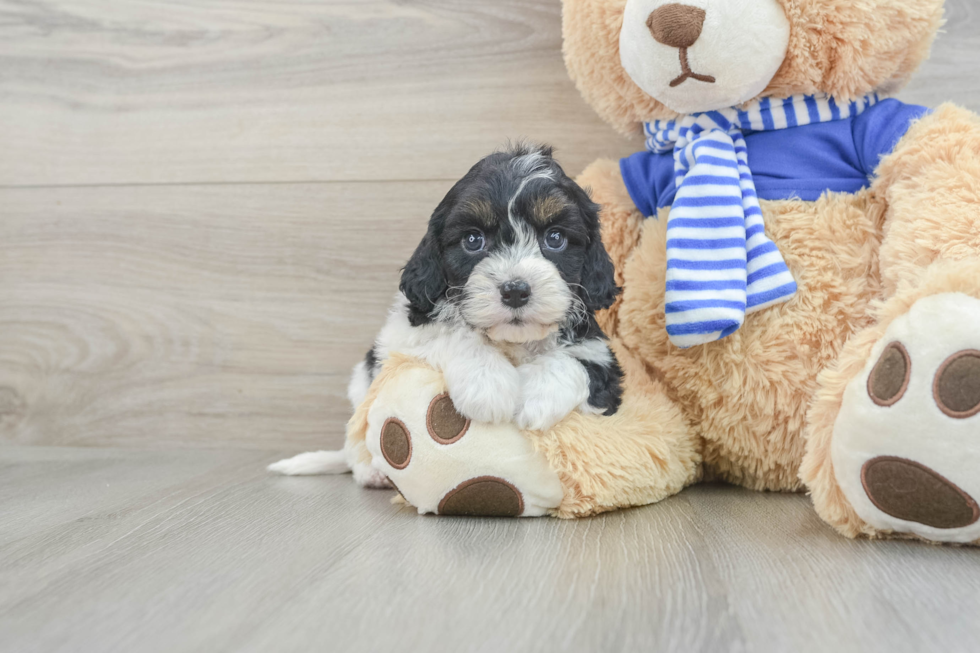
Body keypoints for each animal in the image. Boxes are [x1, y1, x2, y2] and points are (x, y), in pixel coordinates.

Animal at [270, 145, 620, 486]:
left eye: (555, 238)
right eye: (473, 240)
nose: (515, 290)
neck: (512, 340)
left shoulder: (602, 361)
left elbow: (578, 363)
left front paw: (536, 396)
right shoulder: (404, 336)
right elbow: (452, 334)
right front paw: (487, 383)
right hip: (362, 382)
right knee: (357, 433)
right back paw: (371, 472)